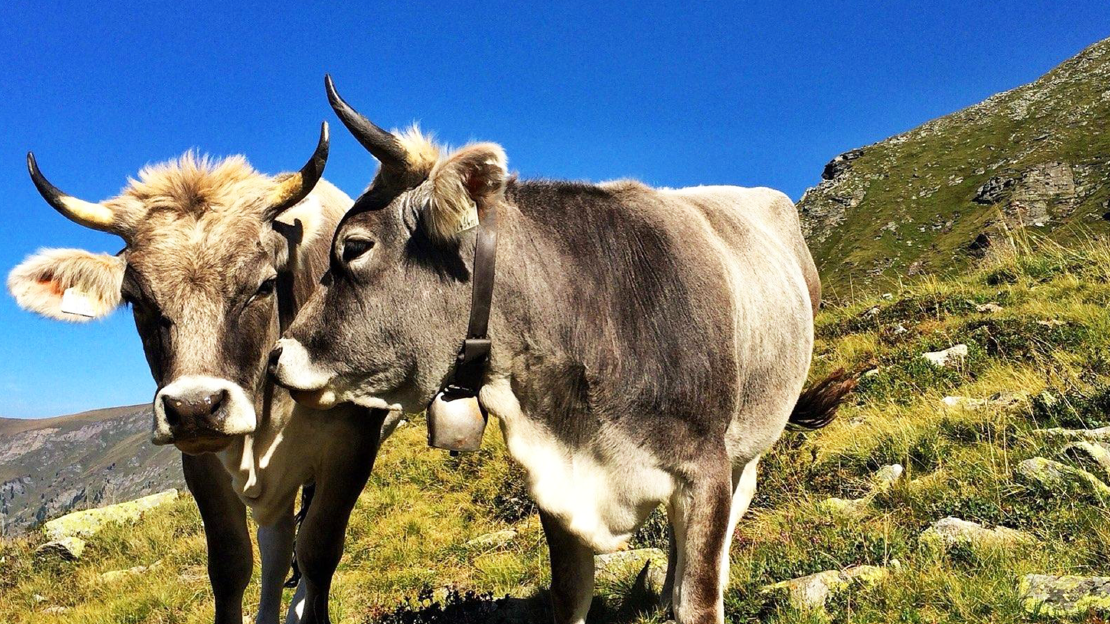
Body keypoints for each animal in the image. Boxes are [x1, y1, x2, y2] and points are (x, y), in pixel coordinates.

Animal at [7, 125, 399, 624]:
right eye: (136, 300)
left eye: (264, 285)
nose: (194, 407)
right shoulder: (199, 464)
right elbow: (231, 565)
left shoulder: (352, 449)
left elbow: (318, 551)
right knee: (275, 544)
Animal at [269, 78, 856, 624]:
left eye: (355, 246)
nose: (278, 356)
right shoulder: (555, 482)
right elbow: (570, 594)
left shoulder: (704, 469)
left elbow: (699, 600)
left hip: (748, 440)